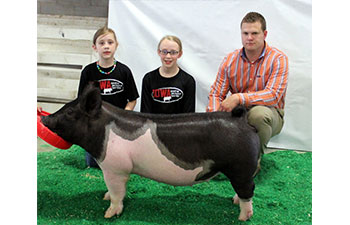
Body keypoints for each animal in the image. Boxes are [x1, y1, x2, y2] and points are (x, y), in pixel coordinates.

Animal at [41, 83, 260, 221]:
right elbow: (113, 191)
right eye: (65, 106)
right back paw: (234, 202)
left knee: (249, 190)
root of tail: (241, 121)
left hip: (241, 167)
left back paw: (242, 217)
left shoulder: (115, 168)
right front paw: (104, 197)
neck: (102, 133)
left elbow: (118, 192)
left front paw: (108, 214)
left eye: (70, 112)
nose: (44, 118)